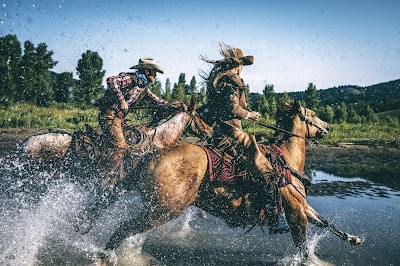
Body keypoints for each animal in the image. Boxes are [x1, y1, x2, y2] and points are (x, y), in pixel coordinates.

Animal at [101, 100, 366, 262]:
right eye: (312, 114)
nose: (327, 126)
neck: (287, 160)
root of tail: (151, 157)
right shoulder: (295, 214)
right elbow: (304, 251)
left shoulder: (303, 207)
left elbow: (327, 223)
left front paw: (354, 238)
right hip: (163, 210)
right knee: (121, 231)